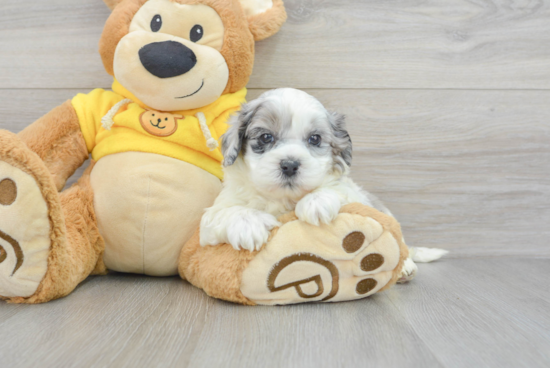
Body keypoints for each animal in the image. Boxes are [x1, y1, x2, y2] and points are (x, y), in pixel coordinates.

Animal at [201, 88, 446, 282]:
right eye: (266, 137)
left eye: (315, 139)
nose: (290, 165)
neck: (283, 199)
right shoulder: (211, 219)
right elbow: (226, 212)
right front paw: (248, 225)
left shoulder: (352, 193)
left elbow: (336, 189)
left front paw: (316, 202)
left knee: (401, 245)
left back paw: (405, 267)